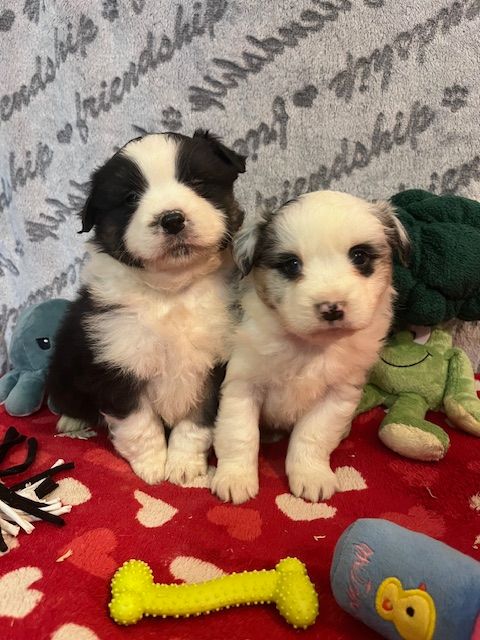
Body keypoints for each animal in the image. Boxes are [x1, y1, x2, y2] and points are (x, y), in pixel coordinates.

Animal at [47, 134, 246, 484]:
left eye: (197, 182)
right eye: (130, 198)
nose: (172, 219)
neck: (172, 293)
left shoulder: (215, 366)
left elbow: (196, 423)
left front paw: (183, 465)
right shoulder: (119, 362)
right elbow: (139, 425)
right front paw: (152, 466)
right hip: (65, 362)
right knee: (66, 396)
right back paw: (72, 421)